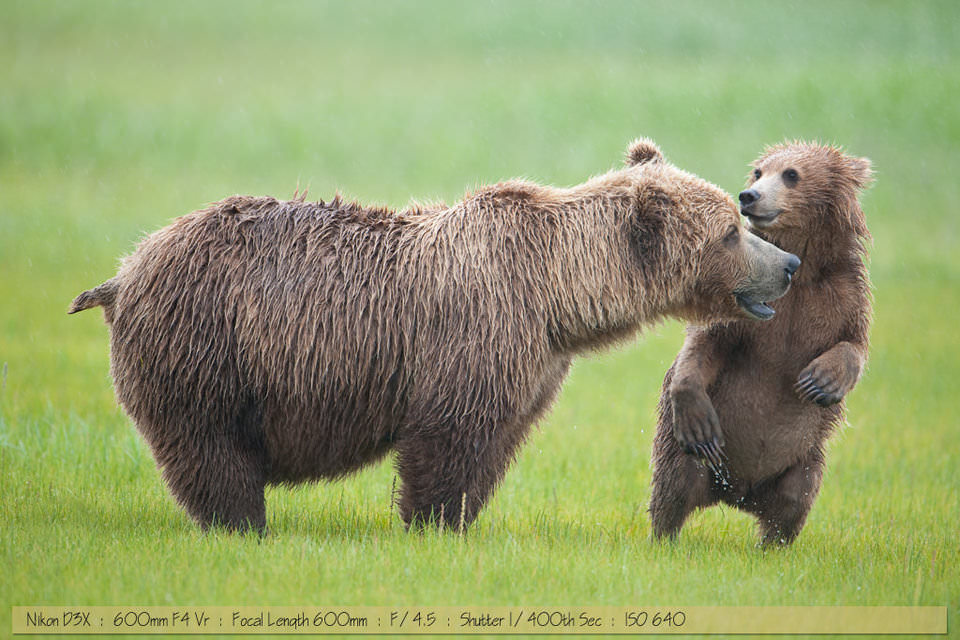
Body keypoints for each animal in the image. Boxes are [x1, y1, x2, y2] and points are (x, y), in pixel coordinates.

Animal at [71, 141, 800, 536]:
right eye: (730, 232)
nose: (789, 264)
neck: (557, 295)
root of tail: (125, 270)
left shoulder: (534, 361)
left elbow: (497, 442)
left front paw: (461, 518)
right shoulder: (476, 331)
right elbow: (449, 439)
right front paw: (433, 521)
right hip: (209, 344)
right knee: (212, 450)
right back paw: (243, 524)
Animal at [648, 142, 872, 548]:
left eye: (791, 174)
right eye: (758, 172)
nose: (749, 196)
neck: (802, 268)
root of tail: (737, 494)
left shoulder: (842, 296)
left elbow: (854, 343)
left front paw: (820, 381)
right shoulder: (742, 299)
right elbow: (705, 345)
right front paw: (695, 410)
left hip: (802, 459)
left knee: (794, 501)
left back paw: (772, 546)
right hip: (686, 454)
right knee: (673, 486)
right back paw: (665, 538)